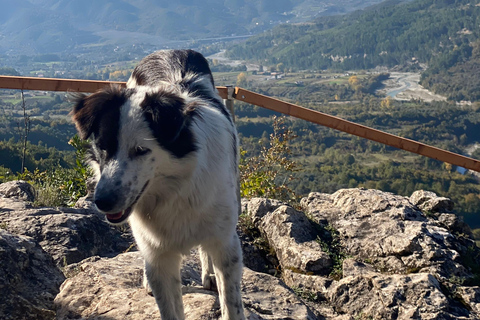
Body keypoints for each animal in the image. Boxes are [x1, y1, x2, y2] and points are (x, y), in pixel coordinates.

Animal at [72, 48, 244, 318]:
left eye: (141, 150)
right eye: (103, 146)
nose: (102, 202)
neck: (176, 190)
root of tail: (172, 50)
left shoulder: (226, 245)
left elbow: (231, 303)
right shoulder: (160, 256)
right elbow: (169, 306)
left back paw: (208, 274)